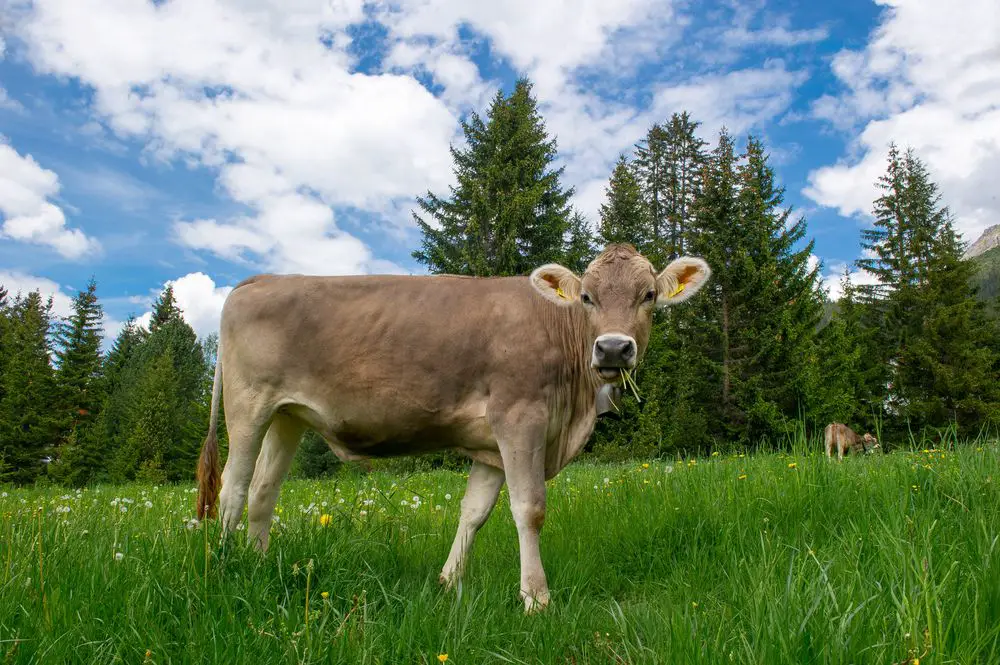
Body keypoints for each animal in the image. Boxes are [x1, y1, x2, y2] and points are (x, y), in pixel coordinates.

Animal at [195, 243, 712, 612]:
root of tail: (261, 279)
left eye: (648, 296)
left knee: (263, 492)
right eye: (587, 297)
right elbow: (529, 509)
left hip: (287, 416)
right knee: (234, 488)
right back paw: (221, 568)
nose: (612, 349)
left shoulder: (492, 446)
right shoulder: (520, 418)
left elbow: (474, 512)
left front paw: (448, 582)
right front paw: (536, 598)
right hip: (248, 405)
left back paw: (260, 564)